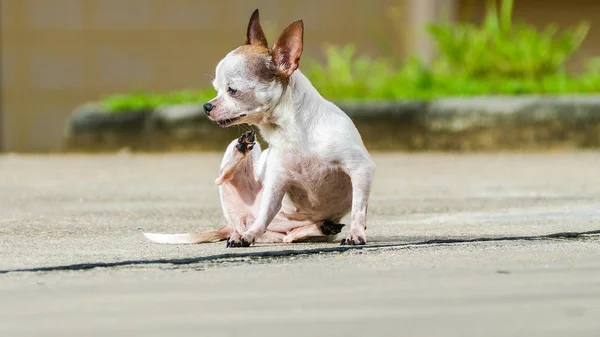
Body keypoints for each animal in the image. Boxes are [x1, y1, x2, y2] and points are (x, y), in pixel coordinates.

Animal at [143, 9, 372, 247]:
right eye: (216, 89)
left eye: (232, 90)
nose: (207, 106)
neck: (291, 131)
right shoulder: (277, 182)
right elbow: (265, 214)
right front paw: (250, 236)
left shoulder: (361, 170)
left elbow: (358, 208)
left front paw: (356, 233)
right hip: (243, 171)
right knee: (226, 181)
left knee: (296, 234)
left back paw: (323, 226)